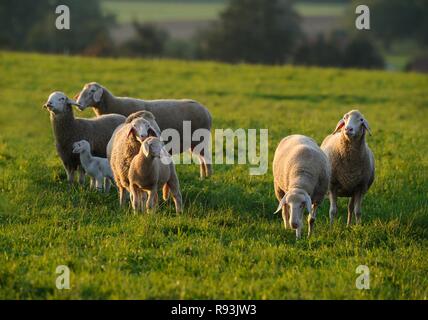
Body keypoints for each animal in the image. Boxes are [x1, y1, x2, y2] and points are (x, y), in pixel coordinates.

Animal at [75, 81, 214, 179]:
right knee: (201, 159)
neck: (111, 104)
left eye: (93, 90)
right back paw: (203, 176)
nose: (79, 105)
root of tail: (206, 111)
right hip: (194, 142)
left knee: (206, 158)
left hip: (201, 139)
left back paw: (208, 178)